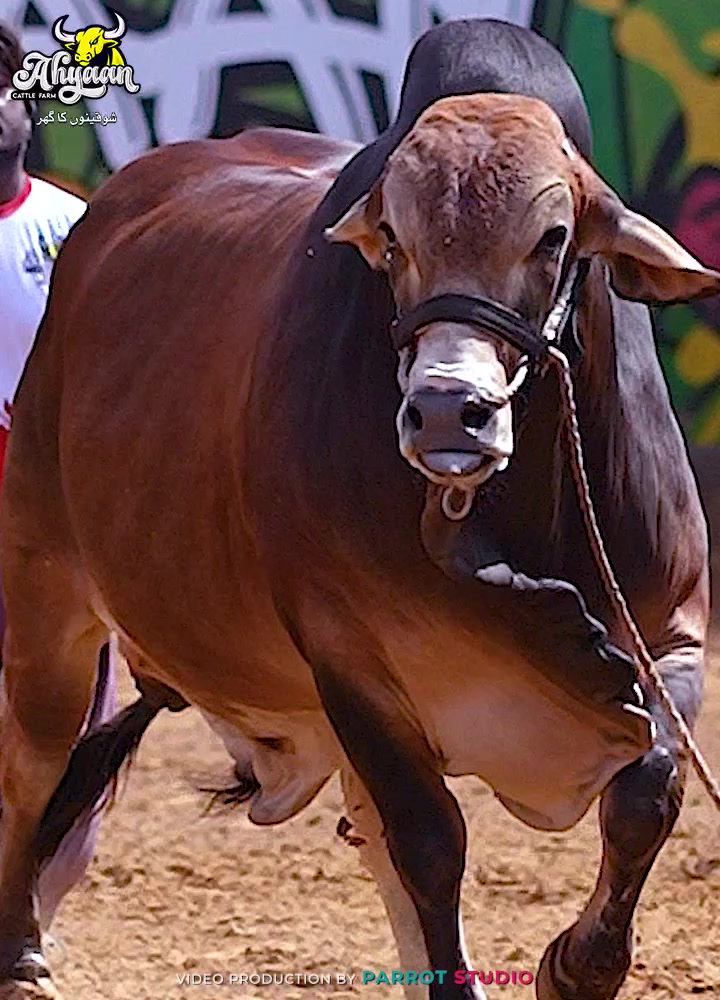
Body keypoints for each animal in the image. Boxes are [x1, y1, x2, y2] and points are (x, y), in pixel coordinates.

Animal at [0, 18, 717, 1000]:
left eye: (553, 237)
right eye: (392, 240)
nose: (448, 410)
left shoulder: (668, 633)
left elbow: (649, 792)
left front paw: (576, 964)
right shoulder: (352, 660)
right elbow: (430, 843)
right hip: (46, 592)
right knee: (29, 771)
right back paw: (16, 946)